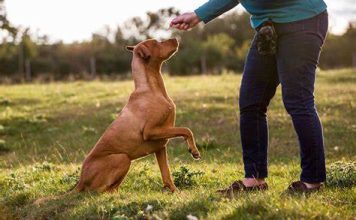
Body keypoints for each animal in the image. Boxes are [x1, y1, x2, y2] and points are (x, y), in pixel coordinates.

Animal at [34, 37, 200, 205]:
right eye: (156, 42)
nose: (176, 38)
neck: (152, 89)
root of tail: (80, 181)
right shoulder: (150, 131)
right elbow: (186, 130)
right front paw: (194, 150)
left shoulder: (160, 146)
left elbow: (166, 174)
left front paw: (175, 192)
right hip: (122, 158)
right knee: (97, 192)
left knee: (111, 189)